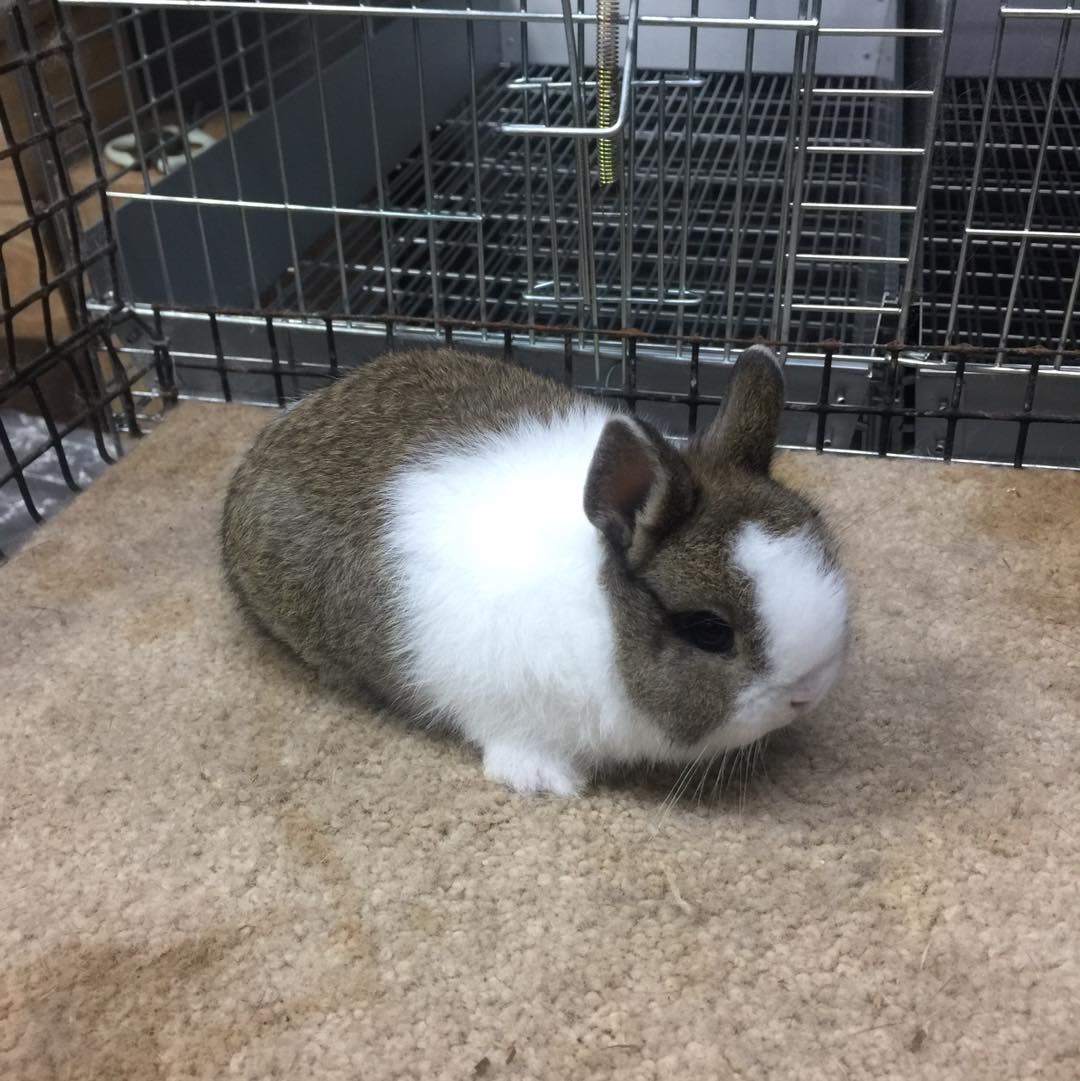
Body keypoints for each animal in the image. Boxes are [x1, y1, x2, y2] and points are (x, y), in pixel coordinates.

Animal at [221, 343, 849, 796]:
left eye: (823, 542)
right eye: (709, 632)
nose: (811, 694)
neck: (600, 616)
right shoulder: (499, 702)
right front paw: (548, 782)